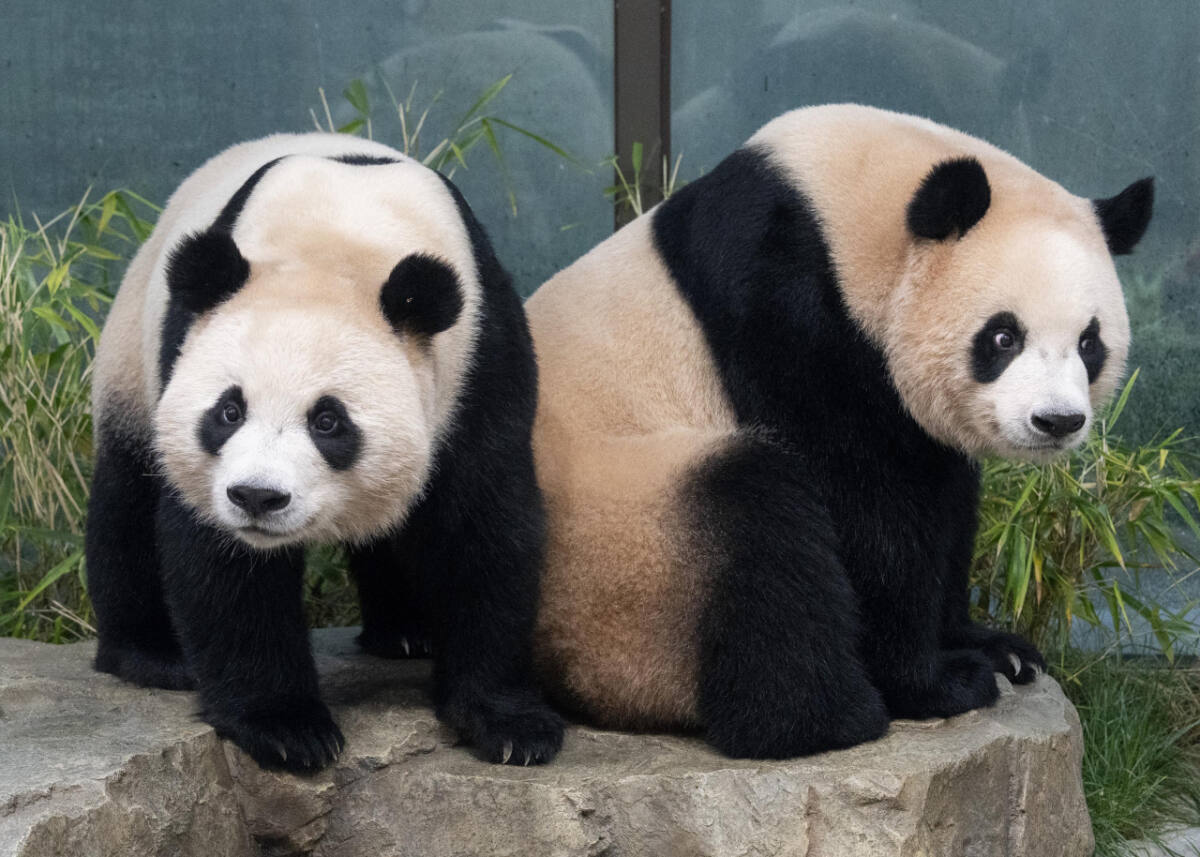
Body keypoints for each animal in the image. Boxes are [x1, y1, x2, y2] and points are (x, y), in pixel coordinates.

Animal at [86, 133, 563, 772]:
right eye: (229, 411)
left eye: (328, 421)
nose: (258, 497)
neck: (337, 244)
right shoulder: (186, 355)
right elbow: (221, 563)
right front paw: (286, 728)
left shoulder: (481, 356)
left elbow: (485, 526)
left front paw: (511, 725)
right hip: (131, 362)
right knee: (127, 500)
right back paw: (152, 654)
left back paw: (406, 631)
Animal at [528, 104, 1153, 758]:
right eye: (1003, 336)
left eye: (1090, 343)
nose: (1056, 420)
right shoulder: (785, 302)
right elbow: (861, 505)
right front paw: (937, 680)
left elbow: (945, 496)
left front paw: (993, 647)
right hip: (623, 546)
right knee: (758, 525)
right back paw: (829, 719)